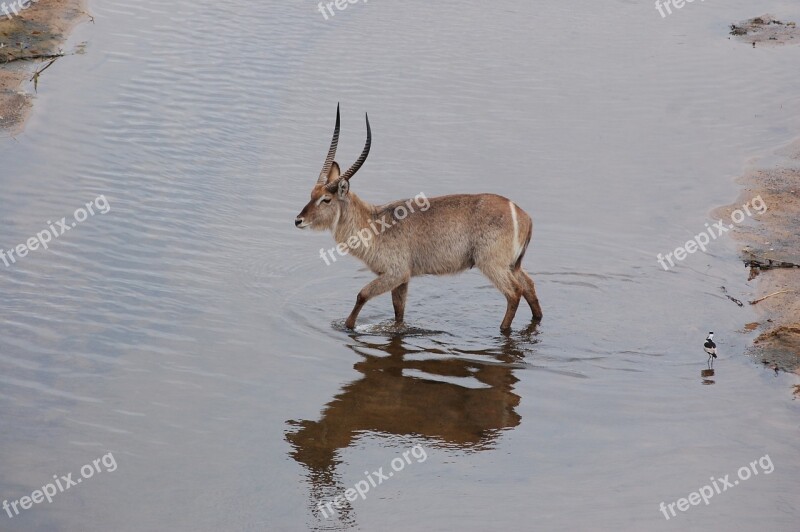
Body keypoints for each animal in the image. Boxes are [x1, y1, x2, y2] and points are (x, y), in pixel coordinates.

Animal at [294, 105, 544, 330]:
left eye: (326, 199)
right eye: (311, 194)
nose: (298, 220)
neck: (373, 222)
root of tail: (523, 214)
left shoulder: (396, 273)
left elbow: (362, 294)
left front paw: (347, 326)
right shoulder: (402, 279)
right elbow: (398, 312)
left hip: (492, 264)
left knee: (514, 293)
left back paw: (502, 329)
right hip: (512, 265)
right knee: (529, 287)